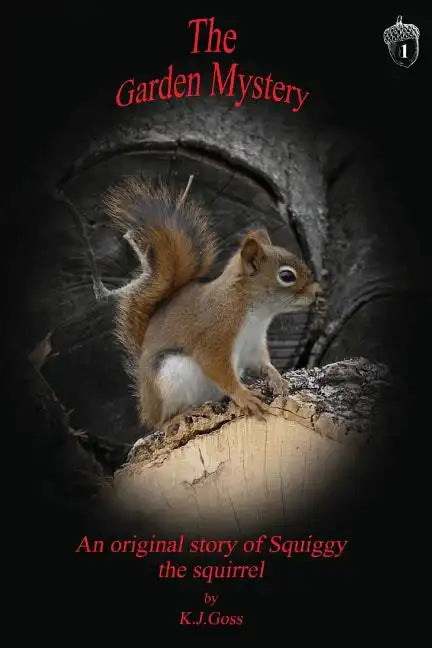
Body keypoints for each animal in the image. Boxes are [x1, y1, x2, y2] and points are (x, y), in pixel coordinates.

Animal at [97, 176, 320, 428]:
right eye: (287, 276)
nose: (317, 293)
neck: (254, 311)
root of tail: (146, 401)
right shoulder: (215, 335)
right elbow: (217, 368)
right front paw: (244, 396)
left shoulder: (254, 344)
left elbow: (262, 362)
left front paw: (276, 377)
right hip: (167, 378)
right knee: (160, 422)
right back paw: (177, 417)